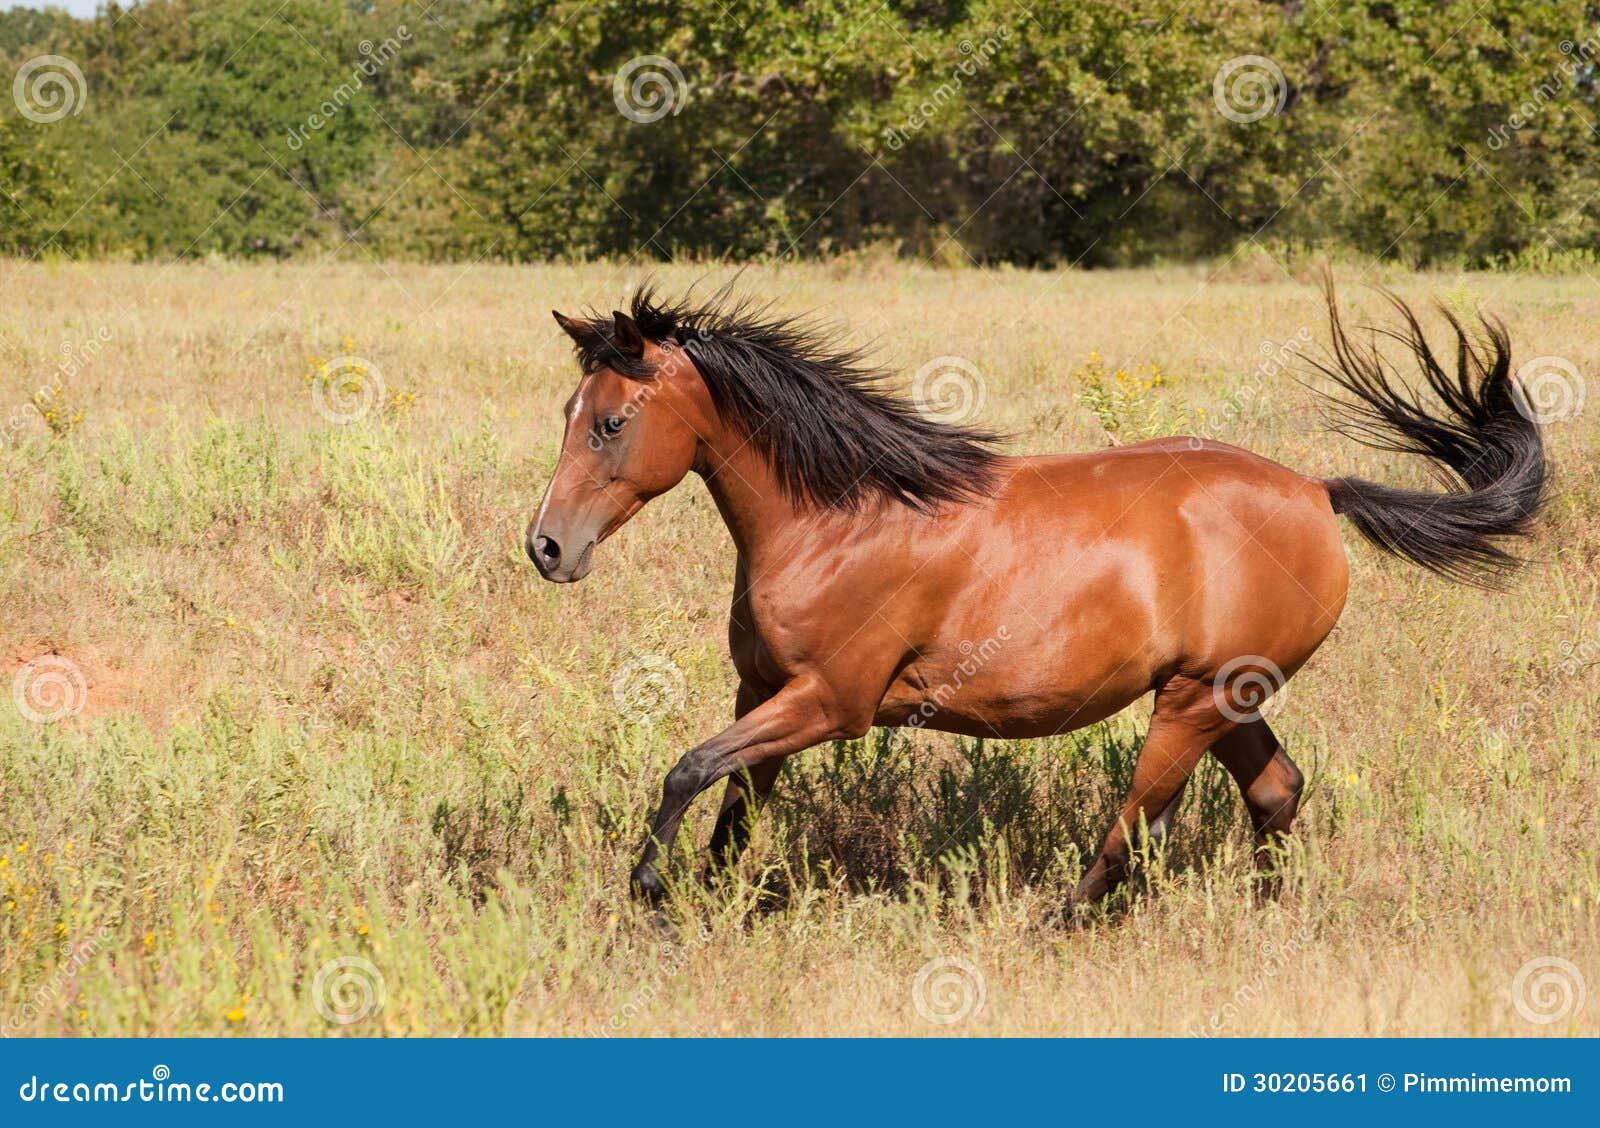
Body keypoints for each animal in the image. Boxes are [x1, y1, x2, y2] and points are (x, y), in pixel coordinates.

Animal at [526, 283, 1548, 913]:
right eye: (568, 414)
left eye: (611, 422)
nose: (547, 547)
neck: (837, 518)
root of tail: (1314, 491)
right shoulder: (763, 692)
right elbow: (733, 808)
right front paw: (703, 901)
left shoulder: (831, 702)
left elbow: (688, 768)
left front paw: (649, 897)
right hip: (1228, 697)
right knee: (1274, 791)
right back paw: (1263, 918)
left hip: (1192, 702)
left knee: (1138, 820)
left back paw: (1057, 921)